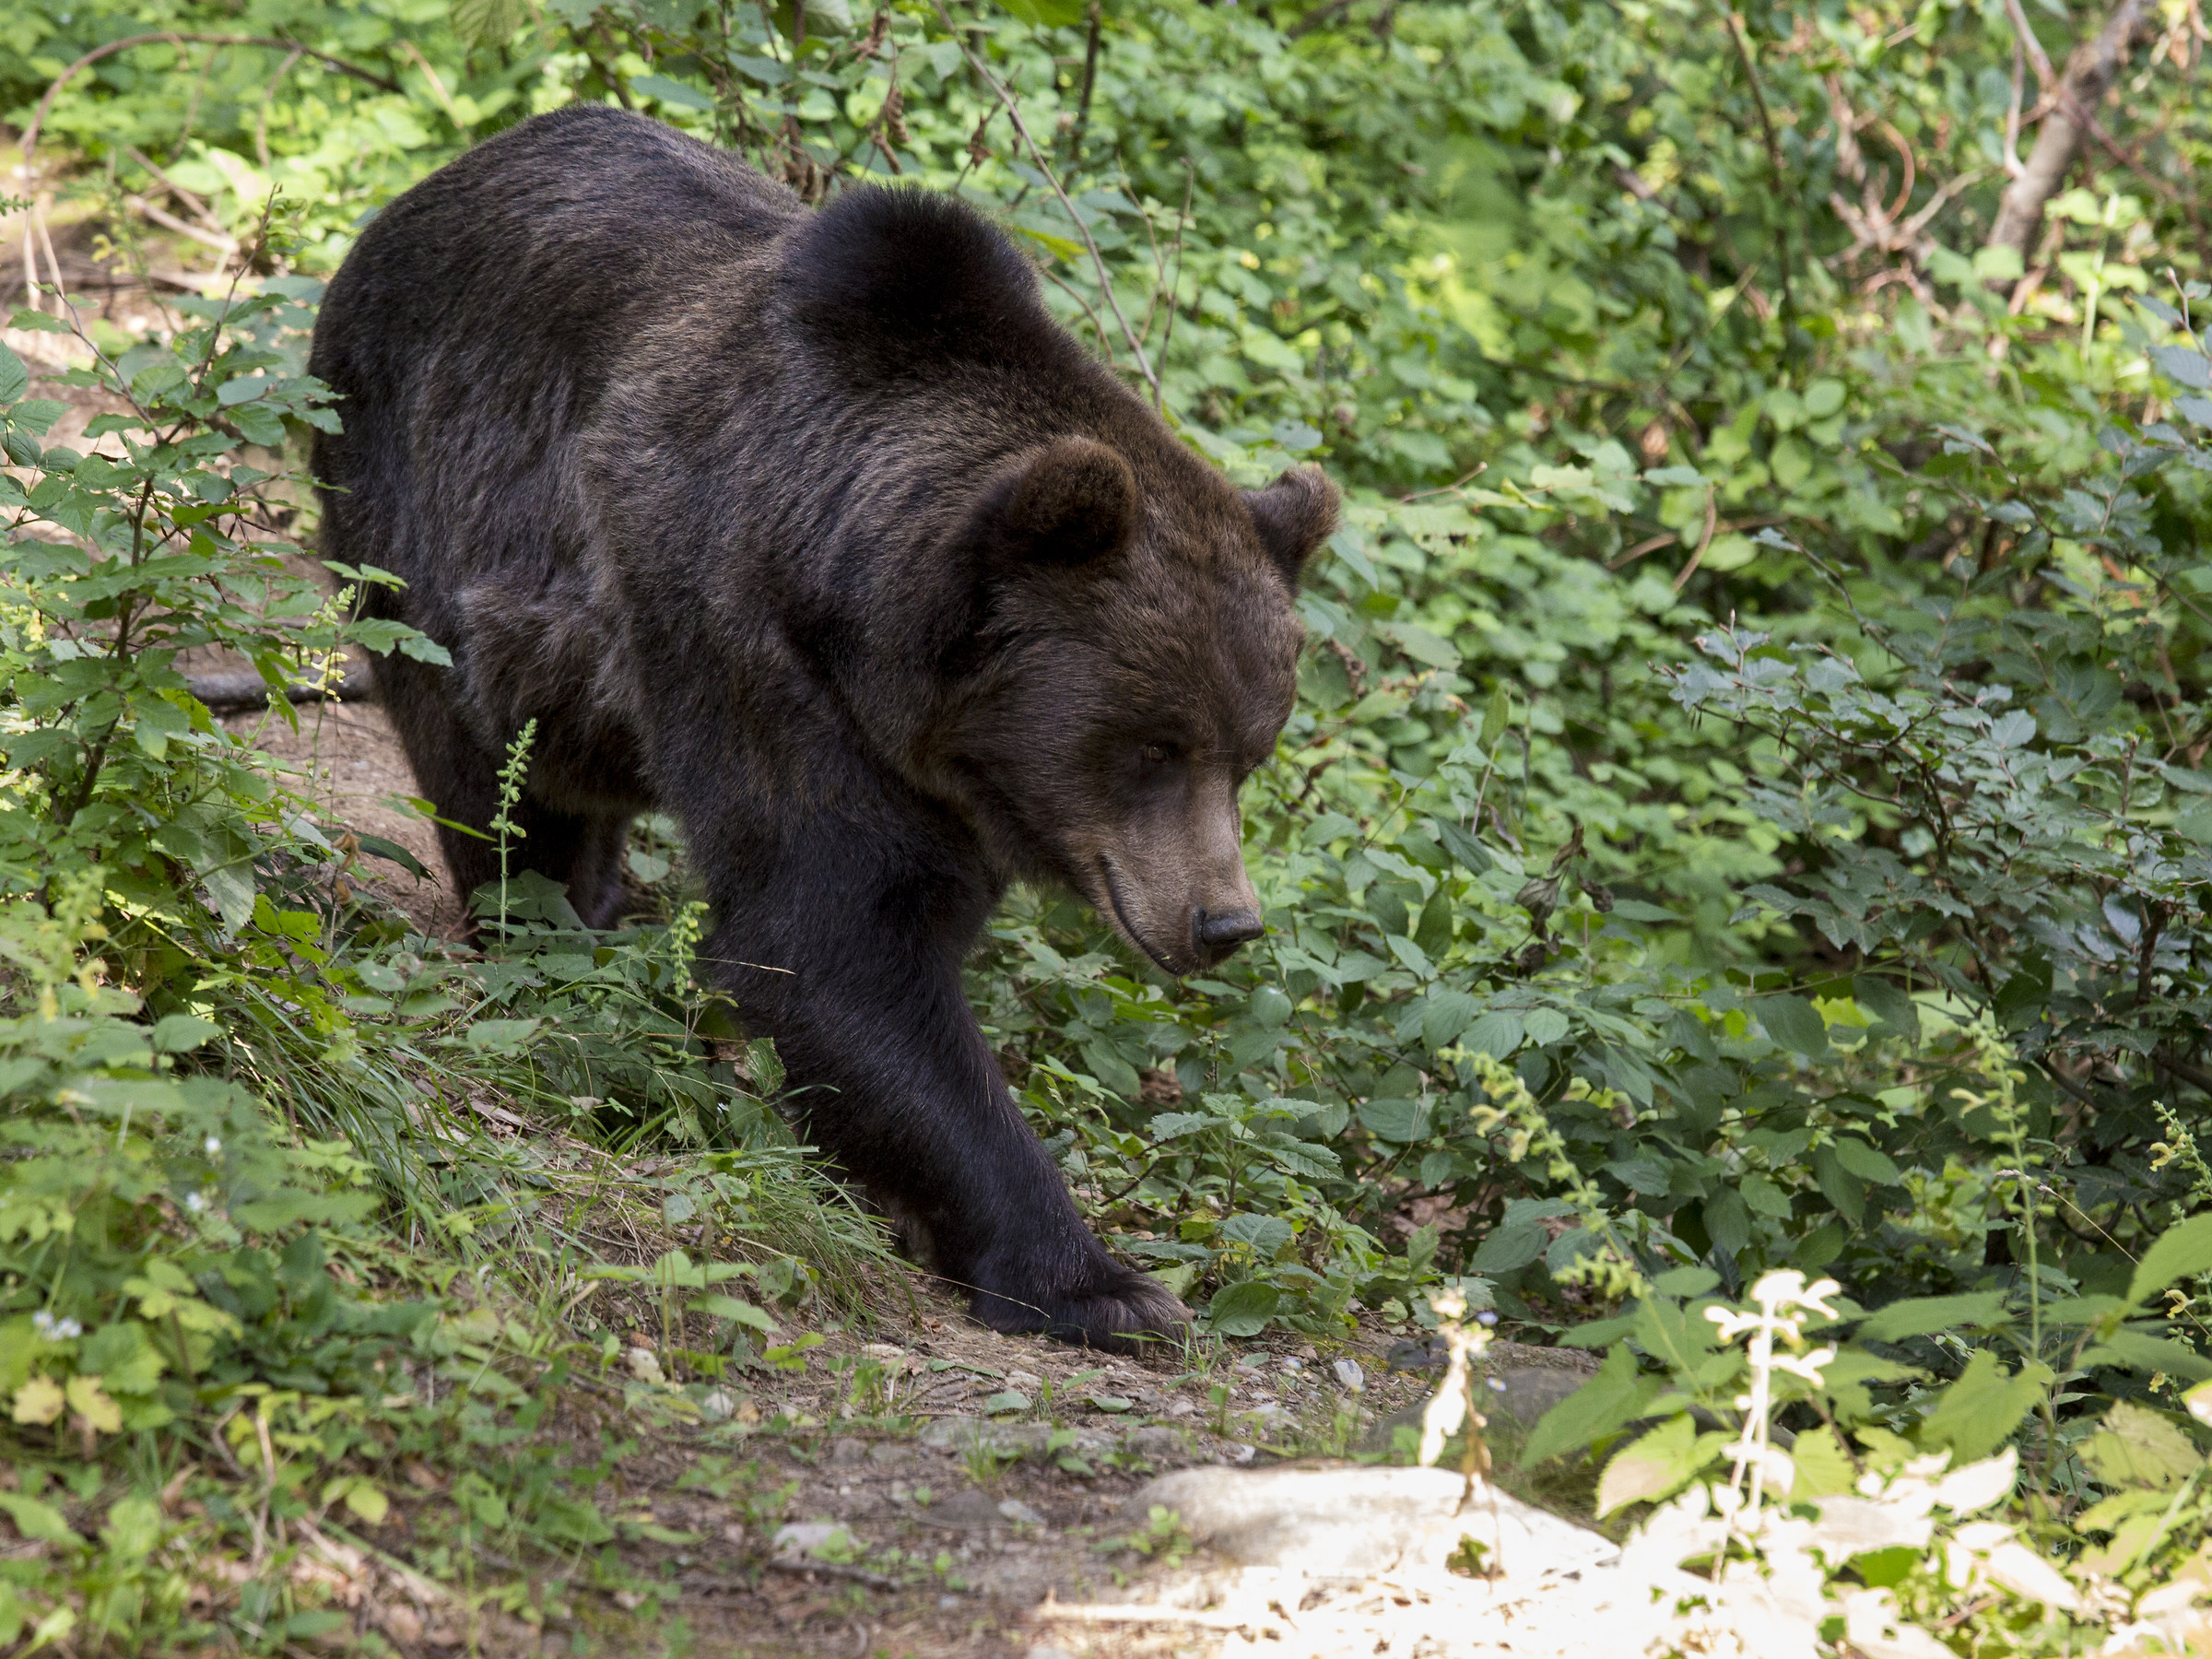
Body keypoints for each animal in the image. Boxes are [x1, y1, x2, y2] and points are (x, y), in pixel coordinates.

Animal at [308, 103, 1338, 1351]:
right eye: (1152, 746)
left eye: (1250, 752)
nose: (1223, 921)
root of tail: (416, 195)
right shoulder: (745, 643)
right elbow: (831, 947)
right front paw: (1102, 1282)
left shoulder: (934, 777)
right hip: (419, 505)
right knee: (497, 781)